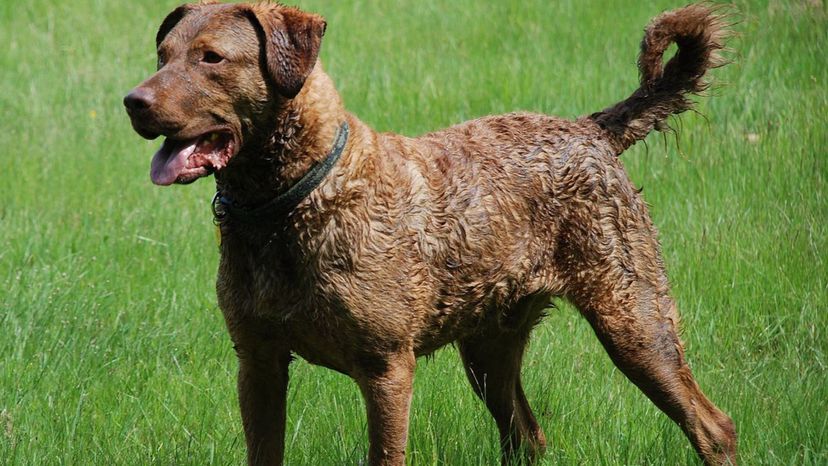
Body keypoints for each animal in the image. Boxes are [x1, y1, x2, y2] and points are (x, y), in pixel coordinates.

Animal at [124, 1, 736, 464]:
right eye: (162, 54)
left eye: (211, 58)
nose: (133, 101)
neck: (289, 204)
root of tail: (592, 131)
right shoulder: (257, 361)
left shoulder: (387, 367)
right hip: (489, 347)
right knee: (527, 436)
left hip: (634, 317)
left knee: (713, 427)